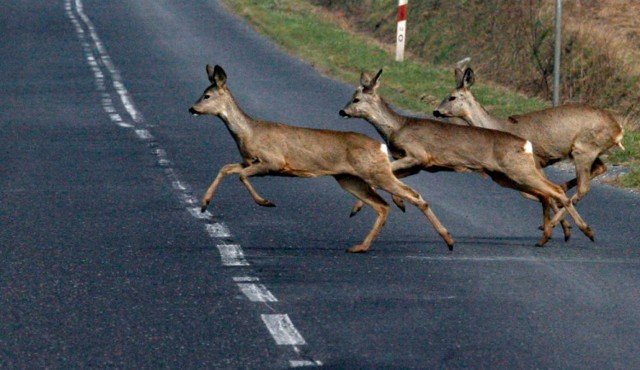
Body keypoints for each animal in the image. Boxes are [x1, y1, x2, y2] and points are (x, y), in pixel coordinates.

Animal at [189, 65, 456, 253]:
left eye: (207, 95)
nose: (192, 109)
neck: (248, 132)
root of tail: (380, 146)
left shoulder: (272, 162)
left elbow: (242, 176)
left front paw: (266, 202)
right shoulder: (249, 161)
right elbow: (226, 168)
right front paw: (204, 204)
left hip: (374, 173)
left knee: (413, 196)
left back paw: (449, 240)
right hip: (350, 179)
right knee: (382, 205)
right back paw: (360, 247)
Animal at [340, 69, 596, 249]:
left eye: (356, 99)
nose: (342, 112)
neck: (396, 127)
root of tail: (525, 144)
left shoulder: (418, 154)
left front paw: (368, 206)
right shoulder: (415, 163)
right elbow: (387, 177)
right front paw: (373, 205)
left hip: (518, 170)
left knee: (555, 189)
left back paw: (586, 231)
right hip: (504, 176)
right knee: (545, 193)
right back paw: (550, 235)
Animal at [430, 66, 624, 208]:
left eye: (452, 97)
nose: (436, 111)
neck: (498, 127)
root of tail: (618, 129)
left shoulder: (535, 160)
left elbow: (532, 192)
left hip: (584, 147)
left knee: (583, 187)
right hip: (589, 149)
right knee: (600, 168)